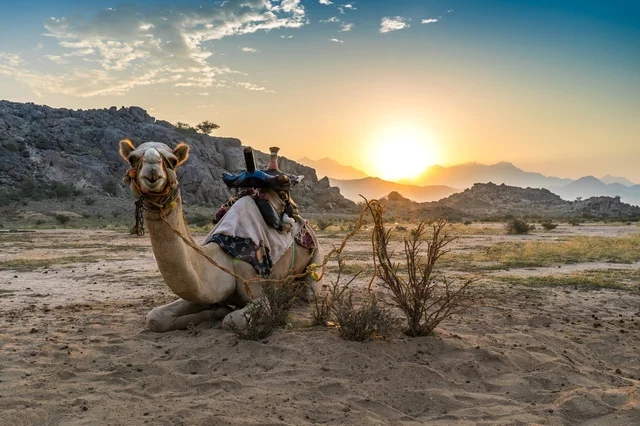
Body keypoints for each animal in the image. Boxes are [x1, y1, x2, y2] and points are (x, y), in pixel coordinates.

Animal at [118, 139, 324, 332]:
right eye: (132, 158)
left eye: (173, 160)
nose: (152, 168)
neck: (223, 259)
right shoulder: (207, 290)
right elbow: (156, 317)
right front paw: (216, 309)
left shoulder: (259, 291)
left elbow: (230, 320)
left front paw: (221, 311)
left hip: (316, 257)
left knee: (307, 292)